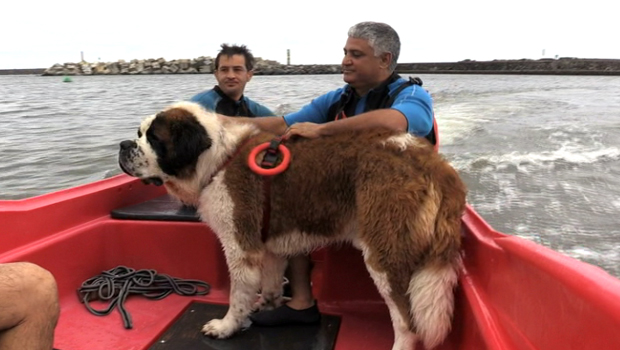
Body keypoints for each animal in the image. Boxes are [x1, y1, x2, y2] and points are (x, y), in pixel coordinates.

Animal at [117, 101, 464, 350]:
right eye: (139, 133)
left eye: (154, 139)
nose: (123, 145)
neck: (216, 159)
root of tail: (433, 162)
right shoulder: (269, 244)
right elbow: (270, 280)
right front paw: (267, 306)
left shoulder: (240, 245)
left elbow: (238, 292)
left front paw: (227, 326)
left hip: (386, 253)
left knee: (407, 320)